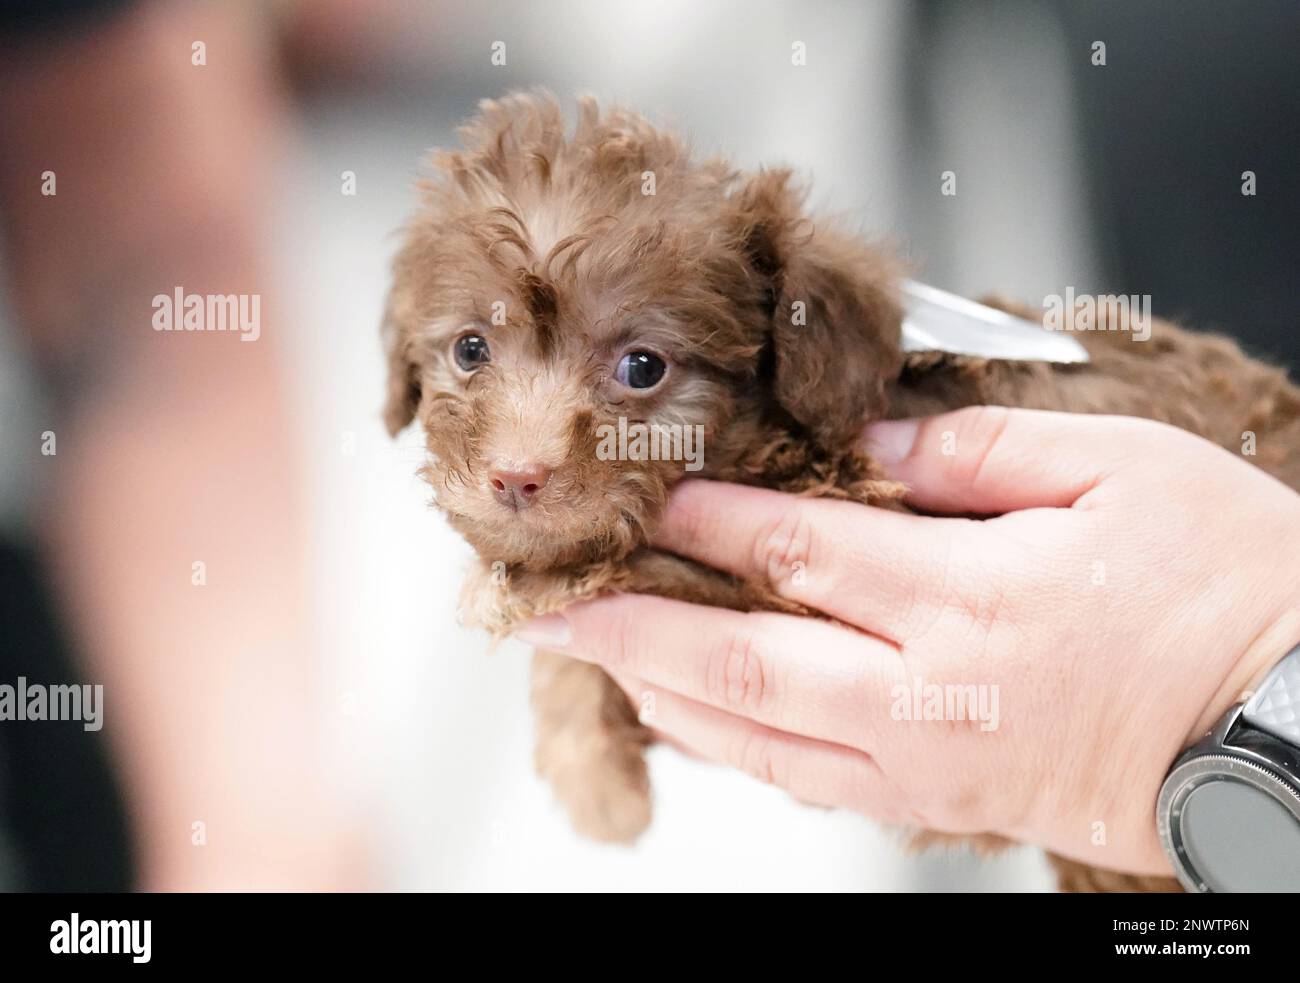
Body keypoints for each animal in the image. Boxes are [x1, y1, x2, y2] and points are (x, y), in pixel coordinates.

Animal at [382, 90, 1300, 889]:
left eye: (643, 367)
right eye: (470, 350)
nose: (515, 476)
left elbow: (639, 568)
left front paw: (541, 654)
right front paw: (591, 762)